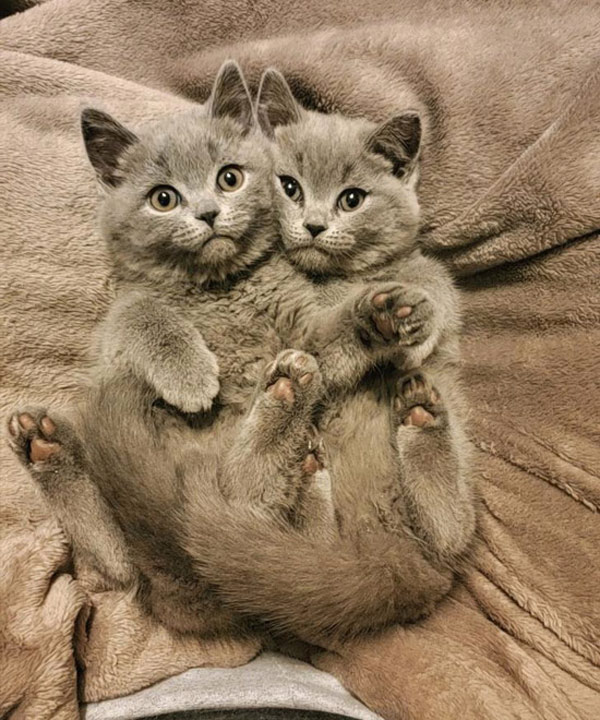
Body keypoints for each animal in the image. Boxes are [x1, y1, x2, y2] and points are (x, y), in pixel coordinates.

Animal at [5, 64, 474, 644]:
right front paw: (189, 375)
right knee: (134, 555)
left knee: (444, 531)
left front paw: (380, 317)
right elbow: (142, 314)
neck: (222, 287)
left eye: (228, 178)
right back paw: (48, 447)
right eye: (163, 198)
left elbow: (334, 337)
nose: (208, 214)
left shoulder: (306, 327)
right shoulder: (118, 320)